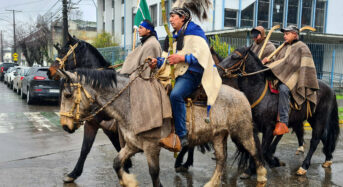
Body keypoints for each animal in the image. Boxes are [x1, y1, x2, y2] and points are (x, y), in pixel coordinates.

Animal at [46, 34, 132, 183]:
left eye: (63, 52)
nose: (49, 71)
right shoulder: (97, 125)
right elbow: (85, 148)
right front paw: (73, 173)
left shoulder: (104, 126)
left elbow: (117, 146)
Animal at [55, 68, 268, 187]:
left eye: (67, 95)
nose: (65, 126)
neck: (132, 103)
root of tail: (241, 95)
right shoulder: (132, 145)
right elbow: (116, 163)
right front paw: (129, 181)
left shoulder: (151, 147)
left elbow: (154, 173)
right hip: (218, 135)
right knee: (222, 159)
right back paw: (212, 183)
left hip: (242, 132)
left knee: (254, 151)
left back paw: (261, 176)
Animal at [216, 46, 340, 176]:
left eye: (235, 56)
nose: (218, 69)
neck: (259, 91)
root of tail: (331, 90)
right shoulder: (254, 128)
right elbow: (256, 148)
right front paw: (253, 168)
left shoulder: (269, 128)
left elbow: (264, 150)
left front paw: (268, 163)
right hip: (311, 118)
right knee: (324, 137)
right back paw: (328, 158)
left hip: (320, 119)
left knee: (315, 140)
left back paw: (304, 166)